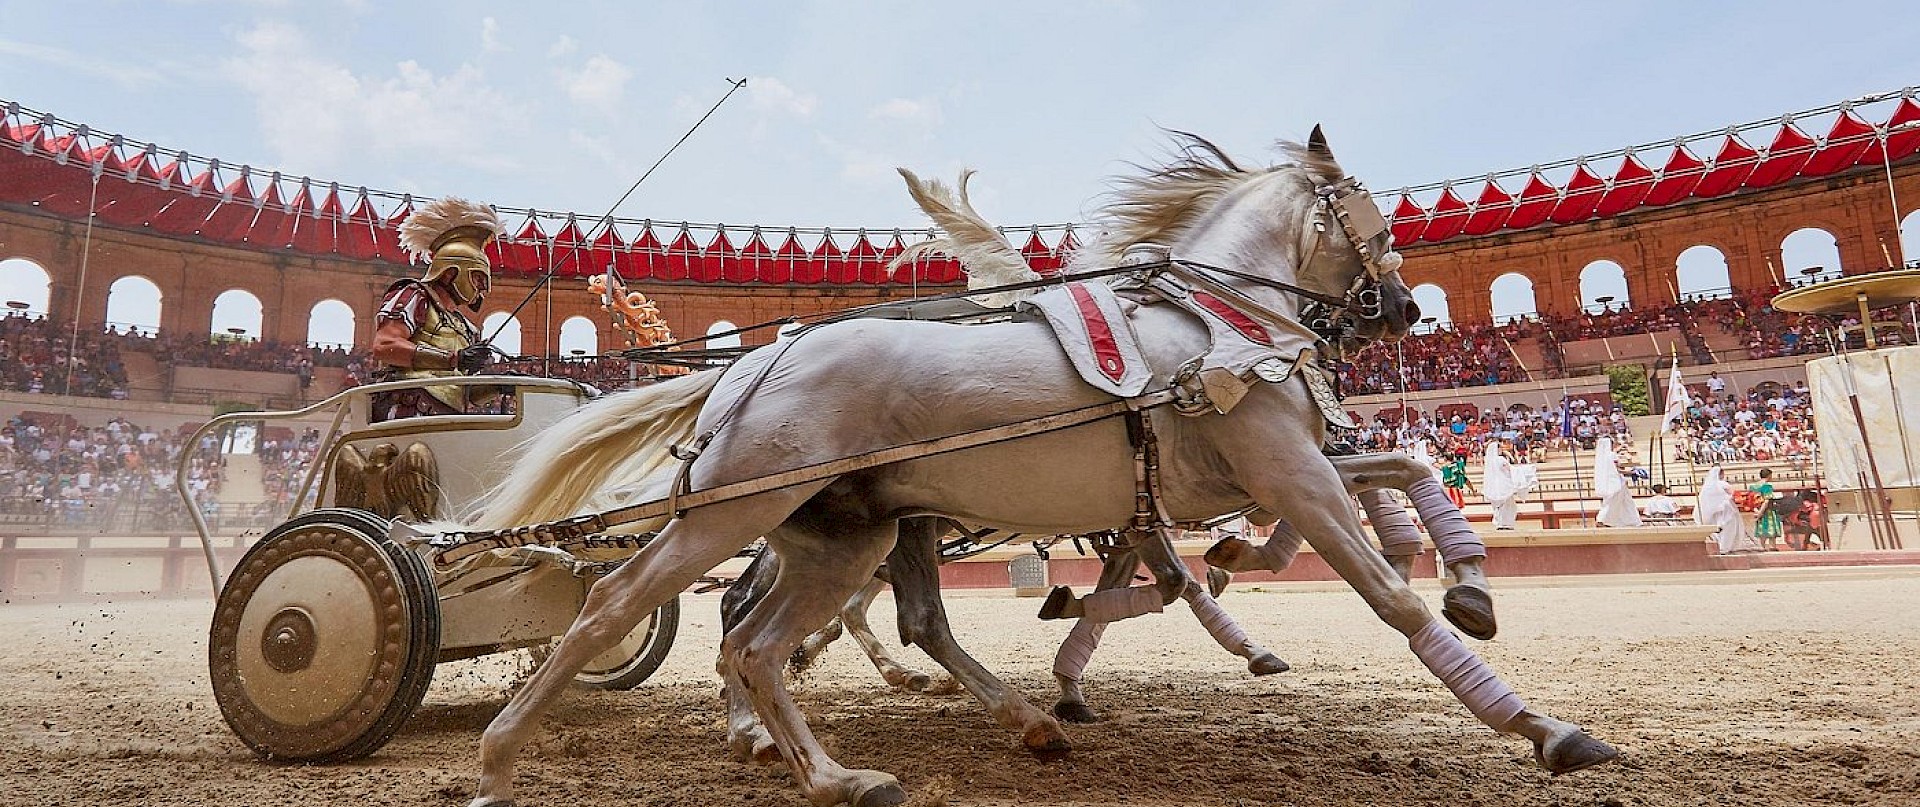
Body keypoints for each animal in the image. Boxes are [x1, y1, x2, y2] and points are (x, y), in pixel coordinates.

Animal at [460, 127, 1605, 807]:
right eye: (1368, 217)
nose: (1400, 309)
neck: (1216, 323)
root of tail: (754, 363)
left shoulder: (1247, 482)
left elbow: (1400, 472)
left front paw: (1468, 585)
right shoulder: (1289, 473)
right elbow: (1384, 589)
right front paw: (1539, 724)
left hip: (845, 535)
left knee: (763, 641)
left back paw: (840, 771)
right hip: (735, 517)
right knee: (621, 606)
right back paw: (501, 758)